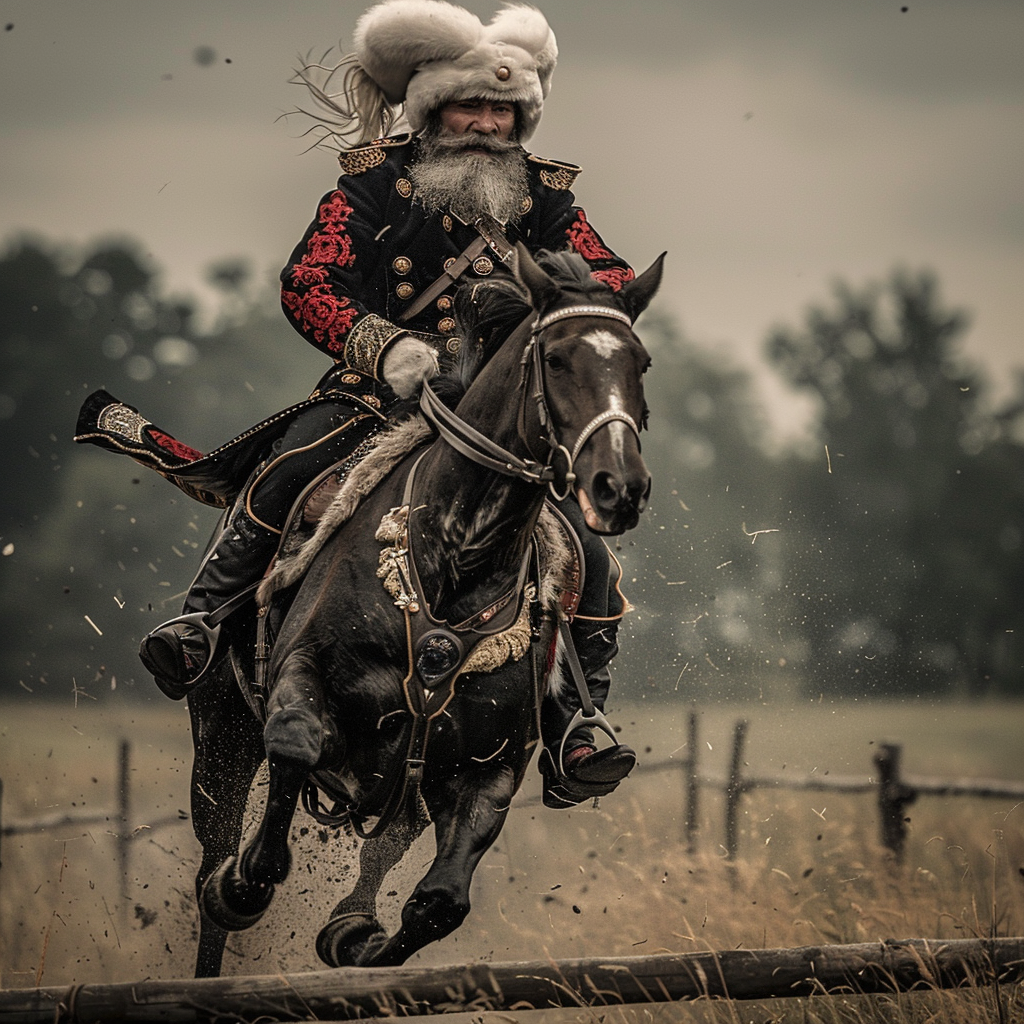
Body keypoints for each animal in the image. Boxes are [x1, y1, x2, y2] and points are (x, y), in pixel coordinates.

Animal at [184, 247, 663, 974]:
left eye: (640, 363)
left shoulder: (486, 768)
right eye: (555, 359)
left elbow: (439, 904)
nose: (620, 487)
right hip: (221, 730)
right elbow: (293, 739)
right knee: (215, 852)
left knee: (390, 841)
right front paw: (244, 885)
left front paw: (355, 937)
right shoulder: (299, 675)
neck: (457, 560)